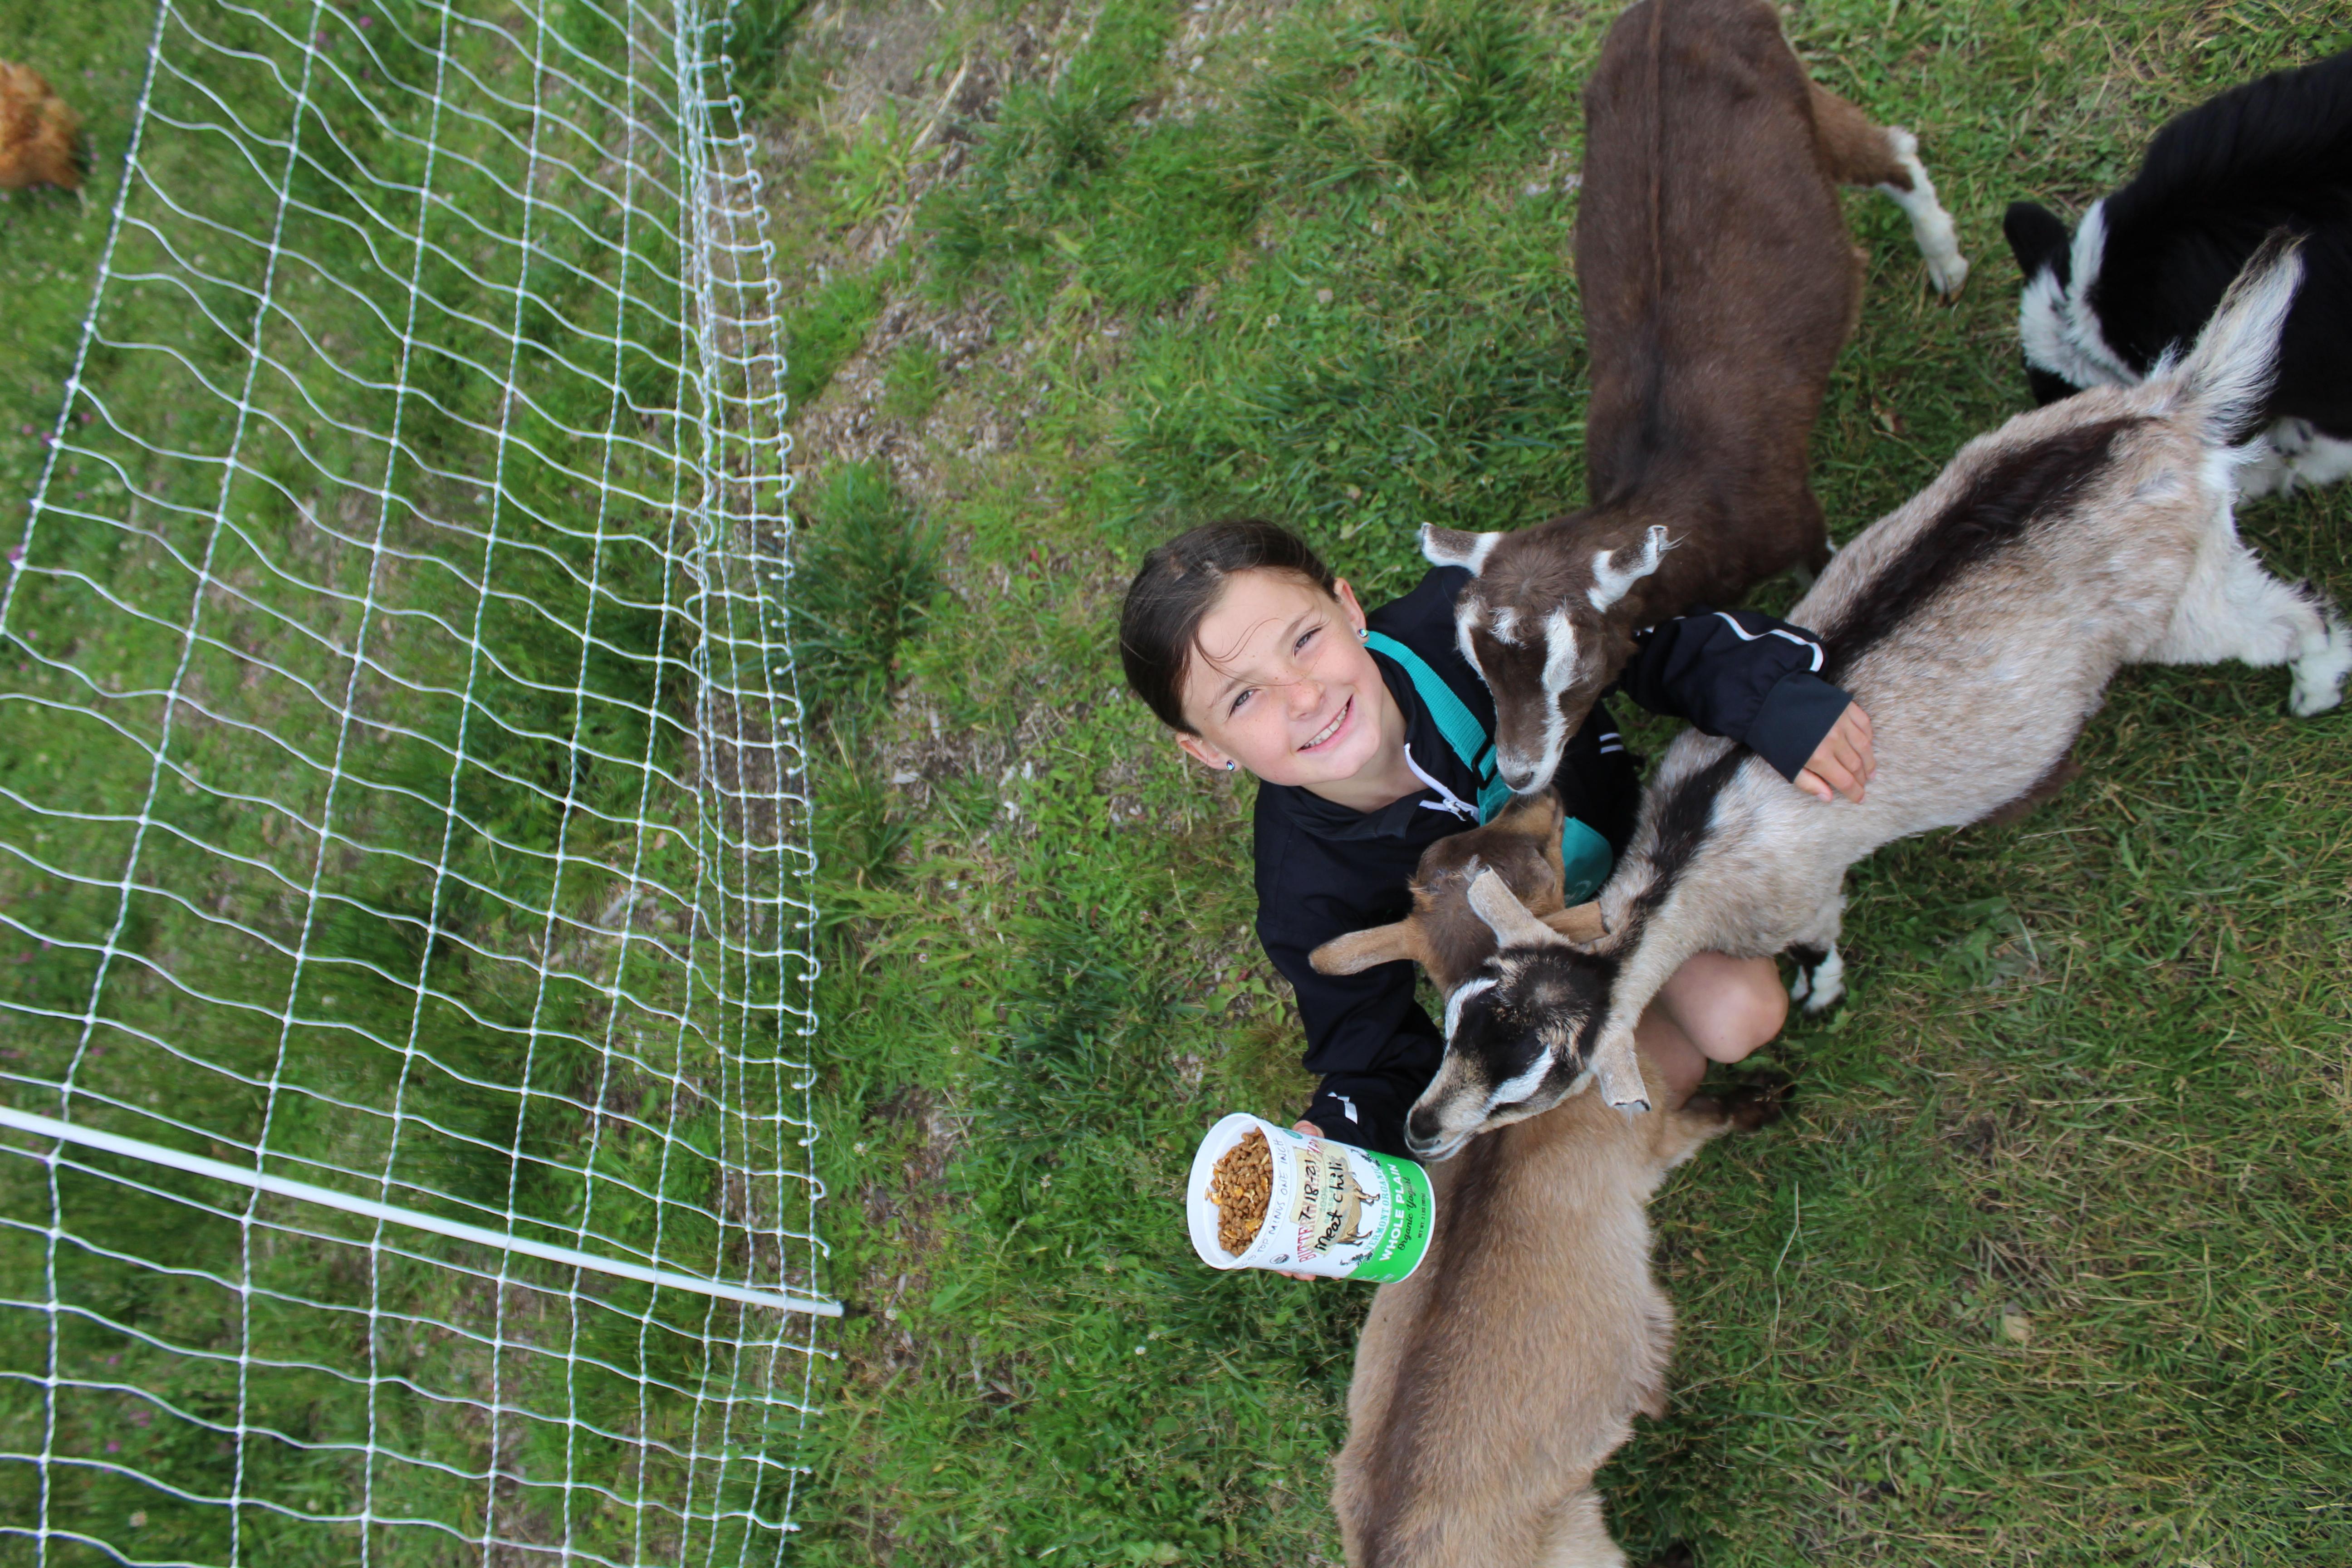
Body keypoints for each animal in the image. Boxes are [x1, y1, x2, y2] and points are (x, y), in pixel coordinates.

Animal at [1312, 796, 1780, 1568]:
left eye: (1459, 847)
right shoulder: (1656, 1133)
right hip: (1577, 1535)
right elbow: (1702, 1122)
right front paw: (1763, 1103)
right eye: (1543, 861)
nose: (1537, 800)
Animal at [1404, 240, 2352, 1152]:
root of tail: (2170, 411)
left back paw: (2312, 683)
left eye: (1527, 1091)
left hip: (2183, 605)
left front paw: (1820, 992)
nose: (1419, 1131)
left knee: (2287, 616)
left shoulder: (1800, 898)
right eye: (1449, 1024)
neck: (1684, 857)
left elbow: (1819, 941)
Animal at [1421, 0, 1967, 796]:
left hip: (1796, 92)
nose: (1521, 775)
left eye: (1572, 670)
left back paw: (1946, 263)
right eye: (1479, 669)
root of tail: (1668, 9)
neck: (1678, 483)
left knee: (1891, 148)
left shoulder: (1795, 516)